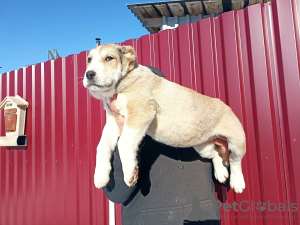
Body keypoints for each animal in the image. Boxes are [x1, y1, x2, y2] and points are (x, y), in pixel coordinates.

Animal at [82, 43, 246, 193]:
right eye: (89, 59)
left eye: (109, 58)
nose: (89, 74)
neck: (124, 83)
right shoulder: (113, 122)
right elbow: (102, 146)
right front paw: (100, 177)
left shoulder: (141, 112)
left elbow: (123, 142)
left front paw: (130, 174)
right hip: (202, 147)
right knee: (216, 154)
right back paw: (221, 173)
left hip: (236, 141)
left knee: (235, 161)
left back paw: (237, 183)